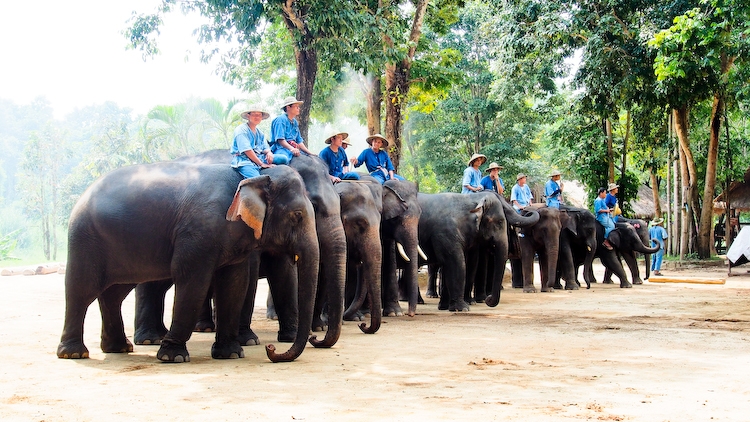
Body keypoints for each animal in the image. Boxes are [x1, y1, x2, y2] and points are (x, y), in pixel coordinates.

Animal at [57, 162, 319, 363]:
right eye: (297, 215)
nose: (271, 349)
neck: (251, 176)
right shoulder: (197, 234)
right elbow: (193, 281)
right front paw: (172, 357)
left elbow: (234, 283)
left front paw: (230, 354)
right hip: (84, 238)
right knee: (81, 289)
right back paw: (74, 354)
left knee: (113, 293)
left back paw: (119, 348)